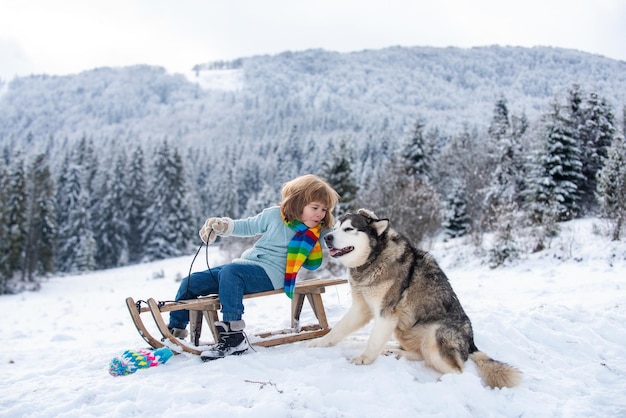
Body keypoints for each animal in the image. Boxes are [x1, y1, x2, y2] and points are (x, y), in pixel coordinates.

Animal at [308, 209, 520, 388]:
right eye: (335, 227)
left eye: (349, 228)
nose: (327, 237)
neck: (373, 258)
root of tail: (471, 343)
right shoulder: (361, 308)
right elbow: (338, 329)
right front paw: (320, 343)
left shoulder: (386, 313)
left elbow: (373, 340)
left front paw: (365, 358)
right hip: (404, 330)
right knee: (421, 356)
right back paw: (395, 352)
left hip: (434, 335)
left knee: (458, 371)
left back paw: (443, 381)